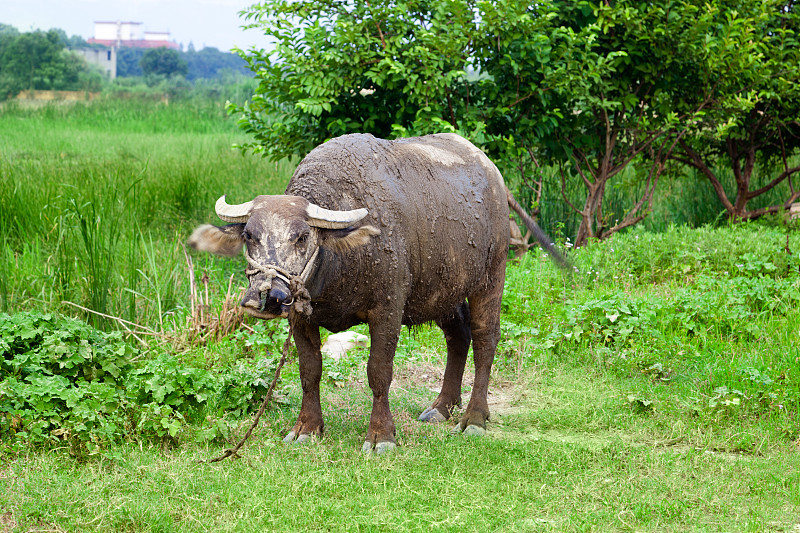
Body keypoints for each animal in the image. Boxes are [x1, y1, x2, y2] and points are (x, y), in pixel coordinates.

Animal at [188, 133, 564, 454]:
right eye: (249, 235)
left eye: (301, 236)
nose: (267, 295)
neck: (338, 262)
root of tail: (494, 177)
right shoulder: (301, 316)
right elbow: (310, 371)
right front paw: (306, 428)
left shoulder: (387, 310)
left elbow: (379, 371)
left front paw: (381, 435)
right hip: (443, 290)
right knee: (458, 336)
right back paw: (442, 407)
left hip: (491, 275)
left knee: (486, 337)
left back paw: (473, 418)